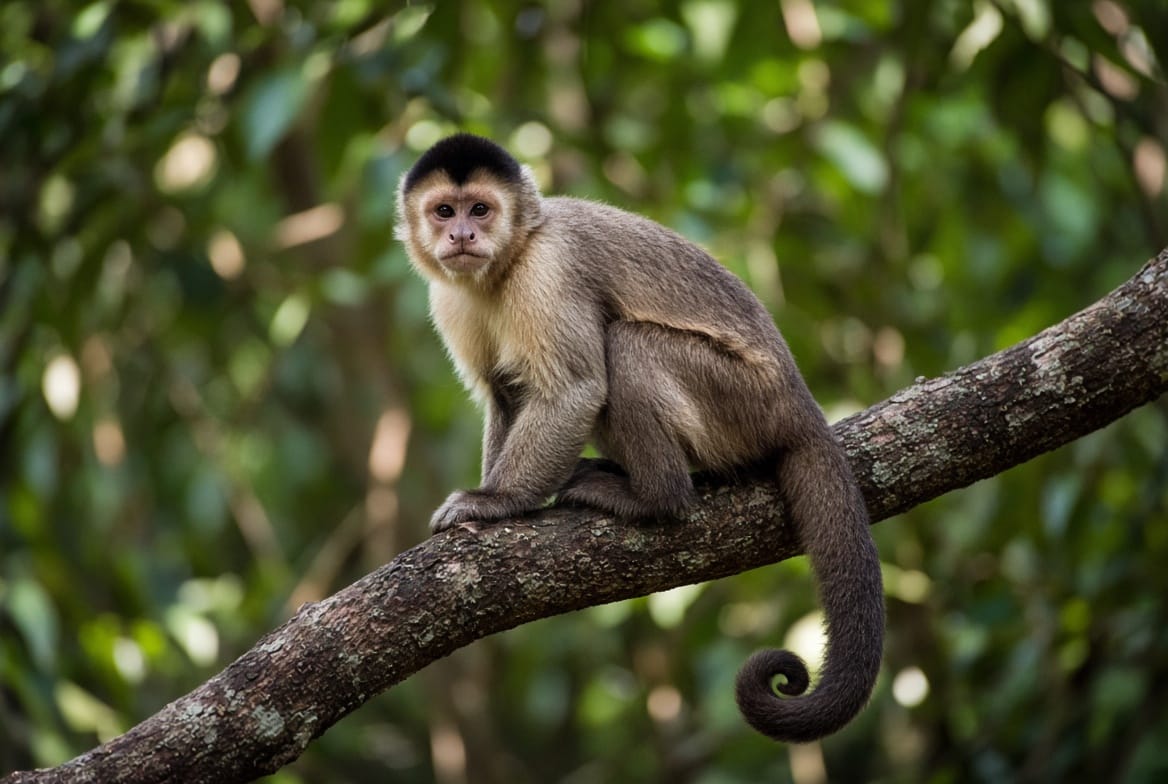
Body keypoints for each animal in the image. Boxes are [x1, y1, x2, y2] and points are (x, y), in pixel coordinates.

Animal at [395, 133, 884, 744]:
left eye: (480, 209)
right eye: (444, 212)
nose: (462, 235)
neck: (508, 263)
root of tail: (800, 407)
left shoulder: (548, 271)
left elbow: (574, 389)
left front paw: (496, 502)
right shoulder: (448, 299)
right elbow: (506, 395)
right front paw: (497, 499)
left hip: (745, 401)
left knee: (625, 345)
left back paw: (654, 497)